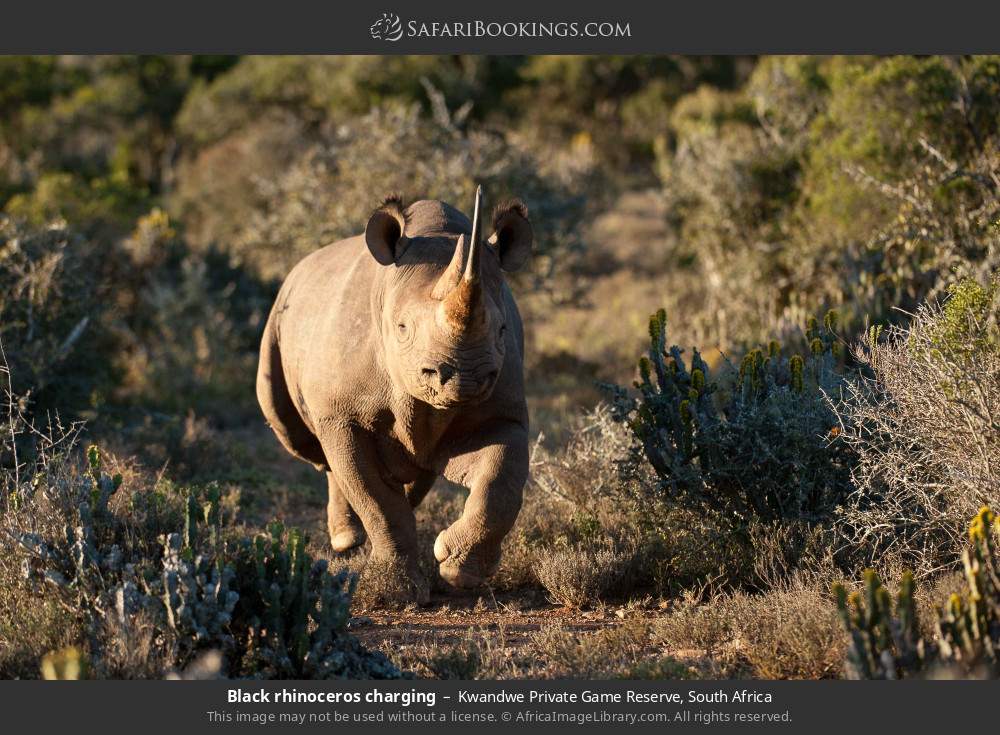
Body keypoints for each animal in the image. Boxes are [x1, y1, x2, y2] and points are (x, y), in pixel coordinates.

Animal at [256, 187, 531, 593]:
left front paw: (460, 571)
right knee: (304, 440)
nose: (464, 376)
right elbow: (376, 500)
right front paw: (399, 587)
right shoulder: (342, 416)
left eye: (501, 330)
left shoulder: (501, 412)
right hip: (278, 321)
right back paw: (345, 541)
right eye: (402, 328)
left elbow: (501, 483)